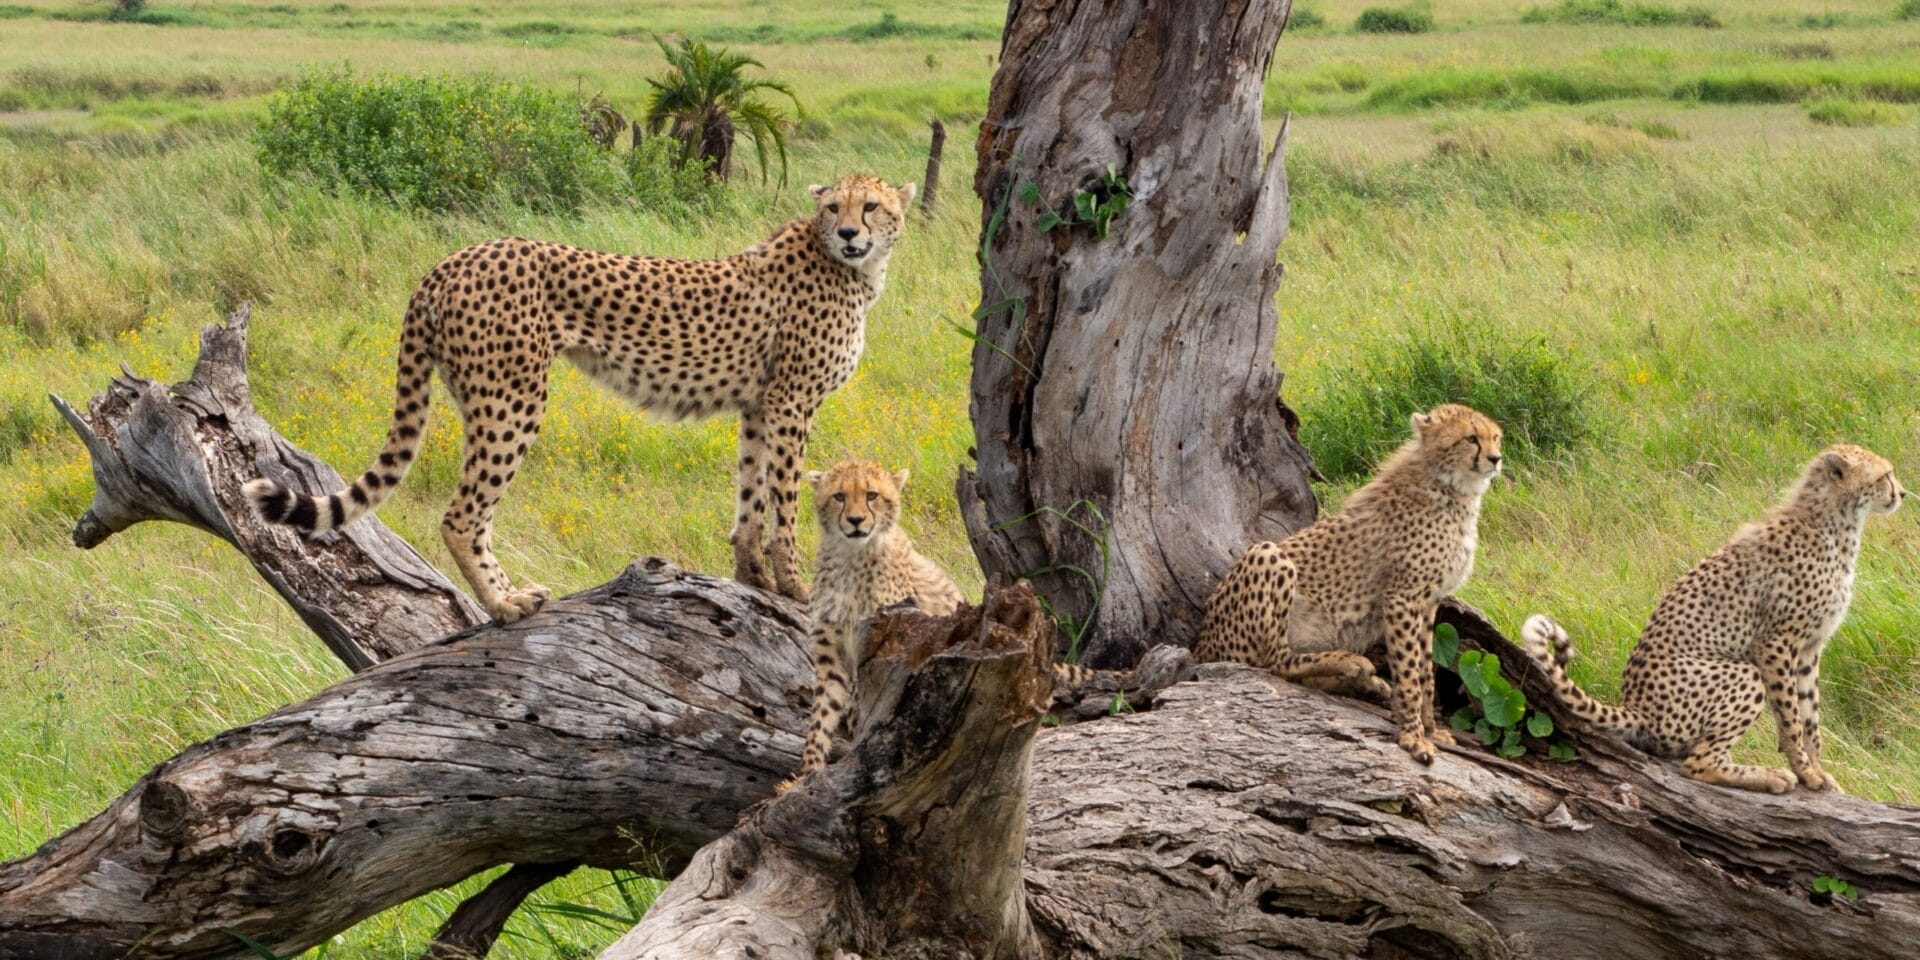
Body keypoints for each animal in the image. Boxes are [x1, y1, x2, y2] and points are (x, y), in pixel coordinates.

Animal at [242, 174, 916, 622]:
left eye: (871, 205)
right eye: (833, 206)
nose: (850, 233)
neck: (850, 268)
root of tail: (452, 260)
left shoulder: (758, 406)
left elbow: (750, 500)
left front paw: (753, 581)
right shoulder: (791, 403)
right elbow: (785, 504)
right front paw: (796, 589)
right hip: (512, 397)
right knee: (463, 515)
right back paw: (506, 603)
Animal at [1196, 403, 1505, 765]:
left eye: (1495, 437)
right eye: (1471, 438)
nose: (1496, 458)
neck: (1448, 487)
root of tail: (1201, 646)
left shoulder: (1428, 602)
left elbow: (1425, 670)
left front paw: (1431, 729)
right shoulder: (1402, 598)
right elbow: (1409, 671)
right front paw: (1413, 737)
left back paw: (1362, 680)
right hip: (1268, 554)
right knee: (1275, 660)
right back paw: (1350, 663)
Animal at [1522, 443, 1904, 794]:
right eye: (1885, 475)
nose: (1901, 493)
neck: (1836, 522)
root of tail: (1636, 707)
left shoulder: (1810, 648)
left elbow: (1811, 717)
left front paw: (1818, 771)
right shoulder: (1776, 644)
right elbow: (1792, 717)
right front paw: (1804, 771)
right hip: (1743, 675)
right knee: (1698, 764)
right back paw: (1770, 776)